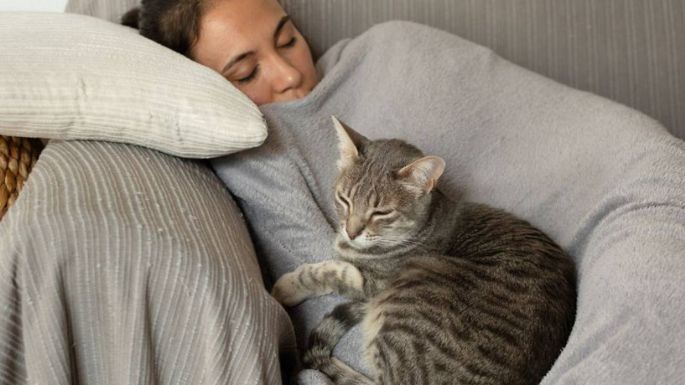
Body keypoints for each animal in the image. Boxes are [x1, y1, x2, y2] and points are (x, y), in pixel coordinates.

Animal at [270, 116, 576, 384]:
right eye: (344, 199)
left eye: (381, 212)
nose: (352, 231)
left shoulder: (373, 285)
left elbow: (332, 271)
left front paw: (286, 287)